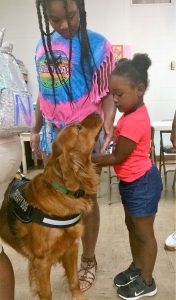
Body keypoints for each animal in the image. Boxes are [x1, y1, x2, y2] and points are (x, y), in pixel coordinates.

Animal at [0, 112, 102, 300]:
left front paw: (78, 296)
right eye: (78, 128)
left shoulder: (71, 247)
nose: (97, 112)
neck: (61, 191)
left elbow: (74, 280)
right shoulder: (41, 262)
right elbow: (47, 292)